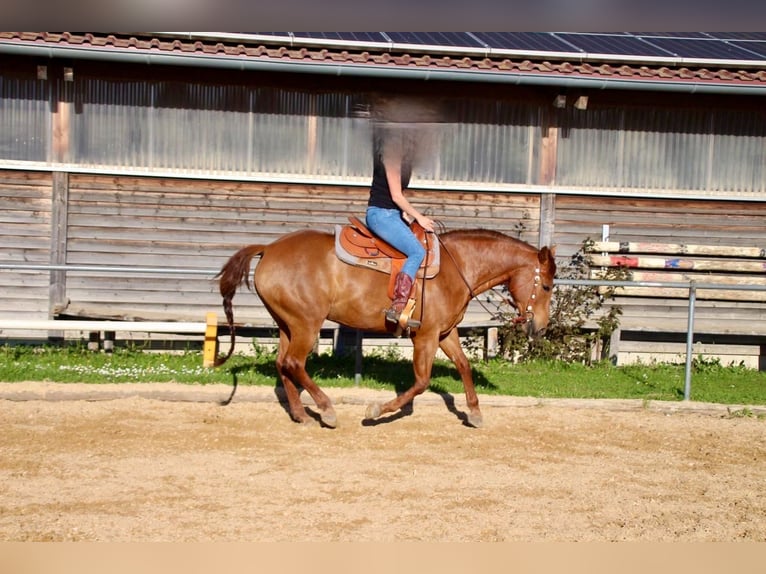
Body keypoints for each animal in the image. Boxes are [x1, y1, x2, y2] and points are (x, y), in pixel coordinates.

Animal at [216, 227, 560, 430]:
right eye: (545, 285)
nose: (541, 328)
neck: (457, 268)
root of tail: (269, 248)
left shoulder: (445, 333)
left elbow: (463, 365)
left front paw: (474, 413)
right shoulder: (425, 336)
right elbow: (421, 382)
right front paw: (377, 409)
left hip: (287, 324)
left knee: (283, 364)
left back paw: (301, 414)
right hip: (306, 323)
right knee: (294, 363)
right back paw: (326, 410)